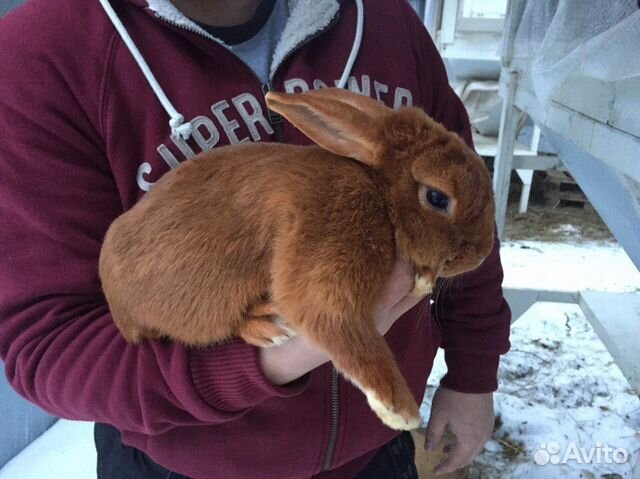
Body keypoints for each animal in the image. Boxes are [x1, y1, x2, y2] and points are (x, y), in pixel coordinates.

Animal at [100, 88, 498, 434]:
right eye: (437, 198)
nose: (481, 253)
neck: (378, 191)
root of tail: (117, 303)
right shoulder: (335, 232)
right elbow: (339, 326)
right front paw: (399, 410)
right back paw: (266, 325)